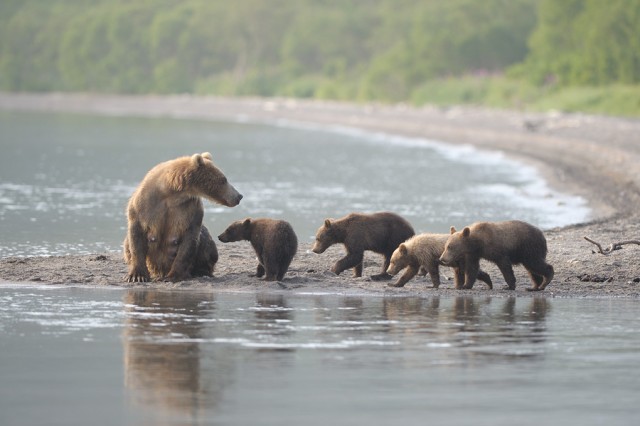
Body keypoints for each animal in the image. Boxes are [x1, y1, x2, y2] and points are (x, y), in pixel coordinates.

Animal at [122, 151, 240, 282]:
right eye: (224, 180)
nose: (239, 196)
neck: (172, 193)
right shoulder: (144, 205)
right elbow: (136, 236)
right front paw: (137, 276)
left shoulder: (190, 210)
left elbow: (188, 241)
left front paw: (173, 276)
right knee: (126, 243)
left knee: (207, 244)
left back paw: (201, 271)